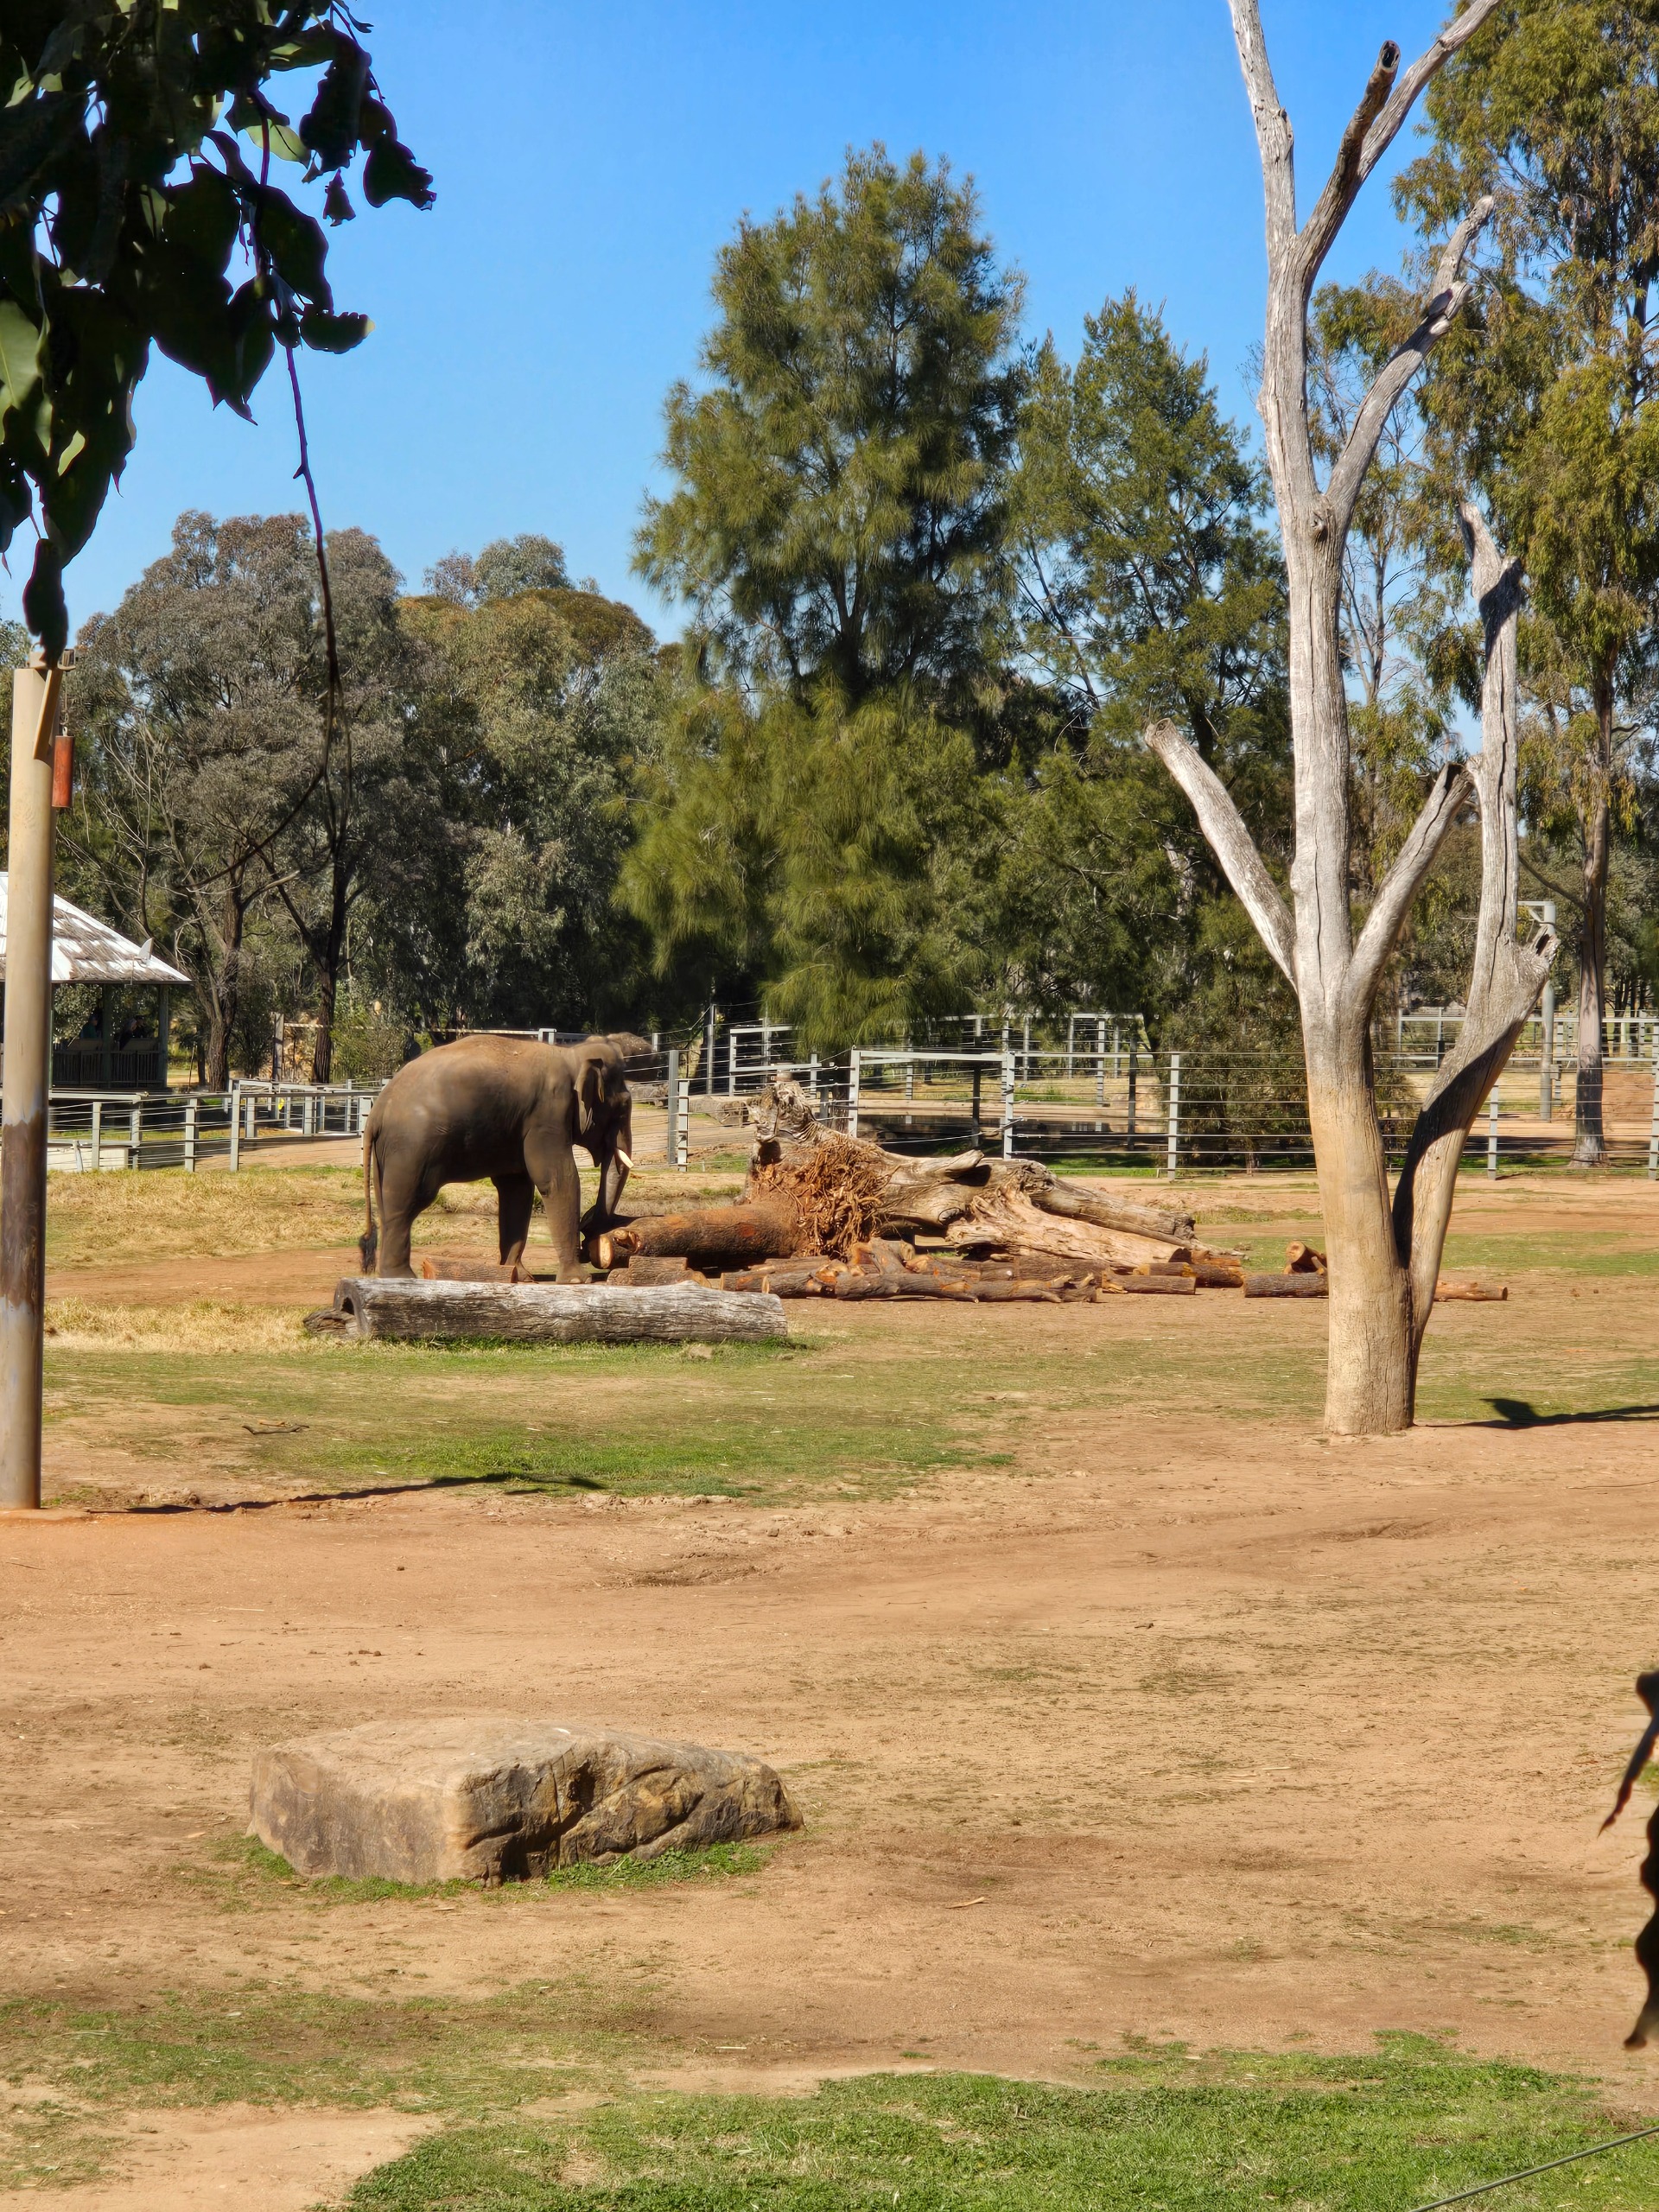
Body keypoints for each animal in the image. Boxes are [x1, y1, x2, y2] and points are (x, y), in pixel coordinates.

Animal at [358, 1034, 634, 1281]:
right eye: (622, 1107)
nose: (589, 1236)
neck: (571, 1055)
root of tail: (376, 1111)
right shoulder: (548, 1115)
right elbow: (557, 1180)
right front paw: (577, 1280)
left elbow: (517, 1189)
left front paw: (519, 1277)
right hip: (411, 1148)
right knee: (406, 1204)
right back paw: (401, 1278)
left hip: (388, 1153)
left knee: (388, 1205)